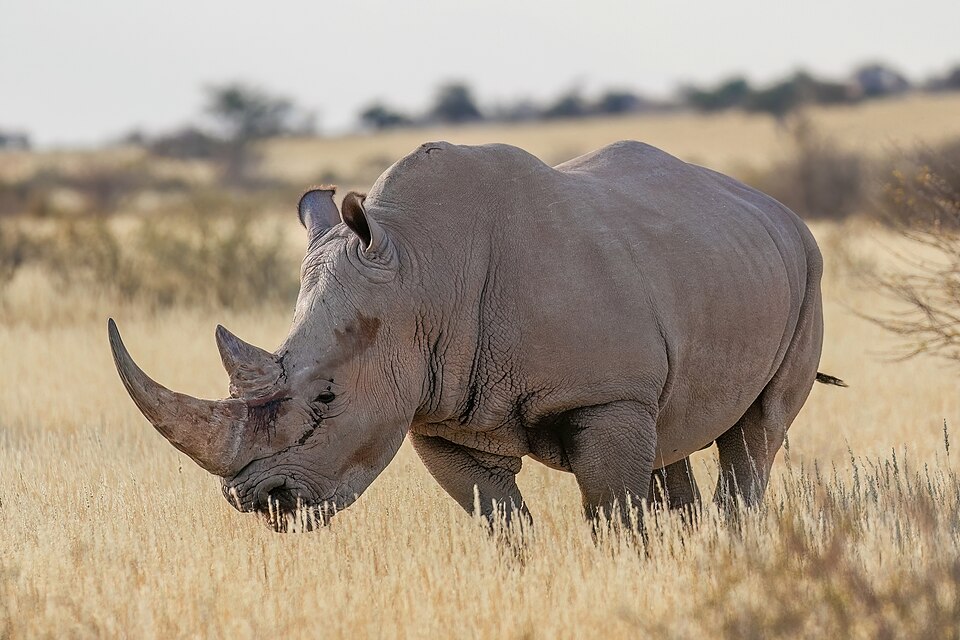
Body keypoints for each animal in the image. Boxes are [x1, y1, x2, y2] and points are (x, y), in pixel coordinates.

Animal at [109, 140, 844, 532]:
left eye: (327, 399)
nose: (256, 501)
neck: (421, 274)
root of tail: (776, 210)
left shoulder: (606, 395)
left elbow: (613, 512)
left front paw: (630, 572)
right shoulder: (441, 416)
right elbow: (500, 521)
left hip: (808, 270)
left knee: (755, 435)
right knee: (677, 435)